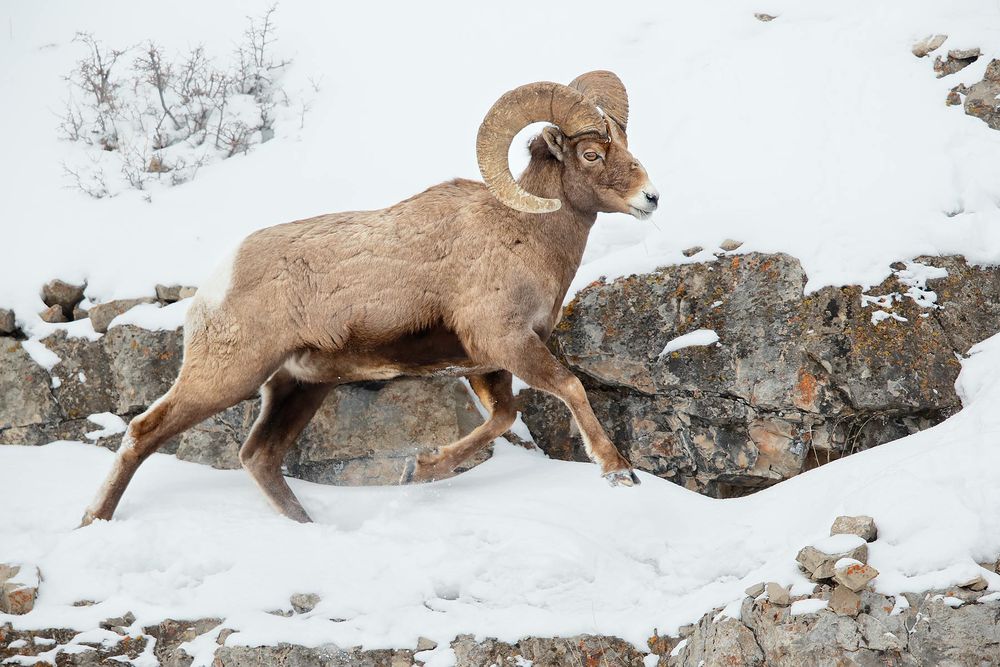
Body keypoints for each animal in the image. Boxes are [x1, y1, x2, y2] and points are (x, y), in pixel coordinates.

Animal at [80, 71, 660, 525]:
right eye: (591, 153)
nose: (651, 198)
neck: (522, 234)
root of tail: (216, 282)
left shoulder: (489, 362)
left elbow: (502, 418)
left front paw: (423, 469)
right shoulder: (506, 342)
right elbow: (569, 387)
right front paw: (618, 472)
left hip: (299, 387)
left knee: (259, 456)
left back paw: (307, 527)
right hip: (227, 376)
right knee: (145, 431)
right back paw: (94, 520)